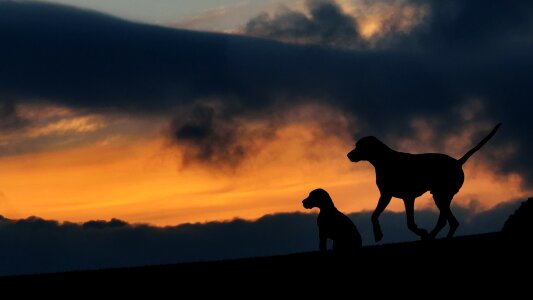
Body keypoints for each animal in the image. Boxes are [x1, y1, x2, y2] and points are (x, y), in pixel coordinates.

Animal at [348, 122, 500, 241]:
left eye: (360, 146)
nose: (348, 155)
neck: (384, 160)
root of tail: (458, 162)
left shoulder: (407, 197)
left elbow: (409, 223)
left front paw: (421, 231)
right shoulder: (387, 195)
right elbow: (374, 216)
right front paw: (378, 233)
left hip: (440, 195)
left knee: (450, 221)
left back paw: (431, 236)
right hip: (442, 196)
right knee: (448, 221)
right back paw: (433, 236)